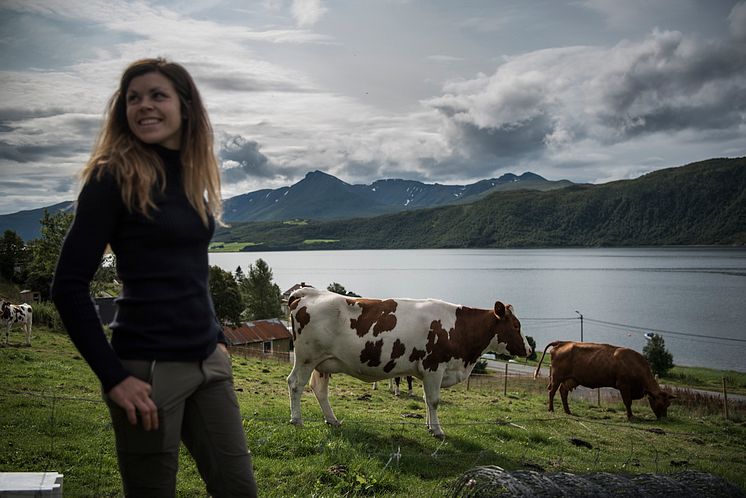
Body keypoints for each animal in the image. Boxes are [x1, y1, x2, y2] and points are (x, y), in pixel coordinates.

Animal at [284, 286, 528, 438]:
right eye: (516, 325)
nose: (528, 349)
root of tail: (309, 292)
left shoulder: (428, 372)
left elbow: (426, 400)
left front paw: (429, 426)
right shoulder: (434, 367)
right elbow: (434, 401)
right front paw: (438, 431)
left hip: (323, 362)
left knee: (319, 389)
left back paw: (332, 420)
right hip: (306, 357)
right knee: (295, 383)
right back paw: (296, 420)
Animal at [528, 338, 676, 420]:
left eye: (668, 404)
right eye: (660, 404)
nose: (664, 419)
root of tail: (562, 342)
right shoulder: (623, 385)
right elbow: (628, 402)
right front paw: (630, 416)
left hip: (570, 379)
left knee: (563, 392)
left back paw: (568, 411)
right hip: (557, 377)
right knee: (552, 391)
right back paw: (551, 410)